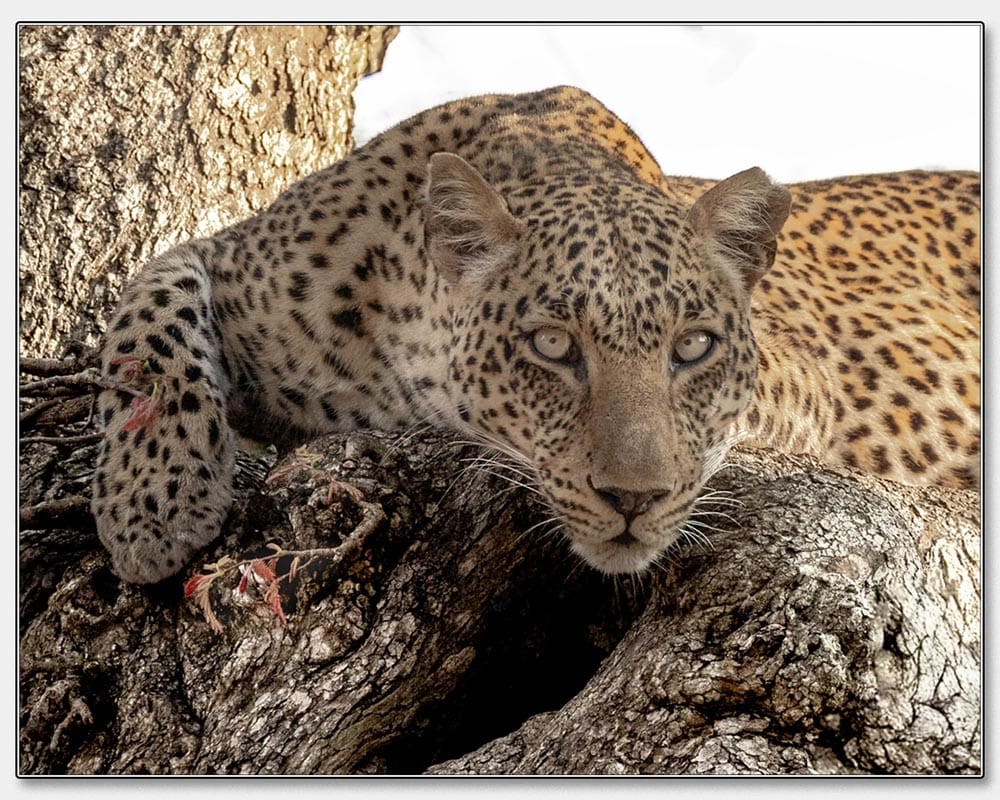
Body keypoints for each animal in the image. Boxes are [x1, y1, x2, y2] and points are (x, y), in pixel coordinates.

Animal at [90, 85, 980, 584]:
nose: (633, 500)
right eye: (553, 346)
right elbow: (147, 316)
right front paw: (152, 506)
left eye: (692, 348)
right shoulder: (224, 252)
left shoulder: (810, 382)